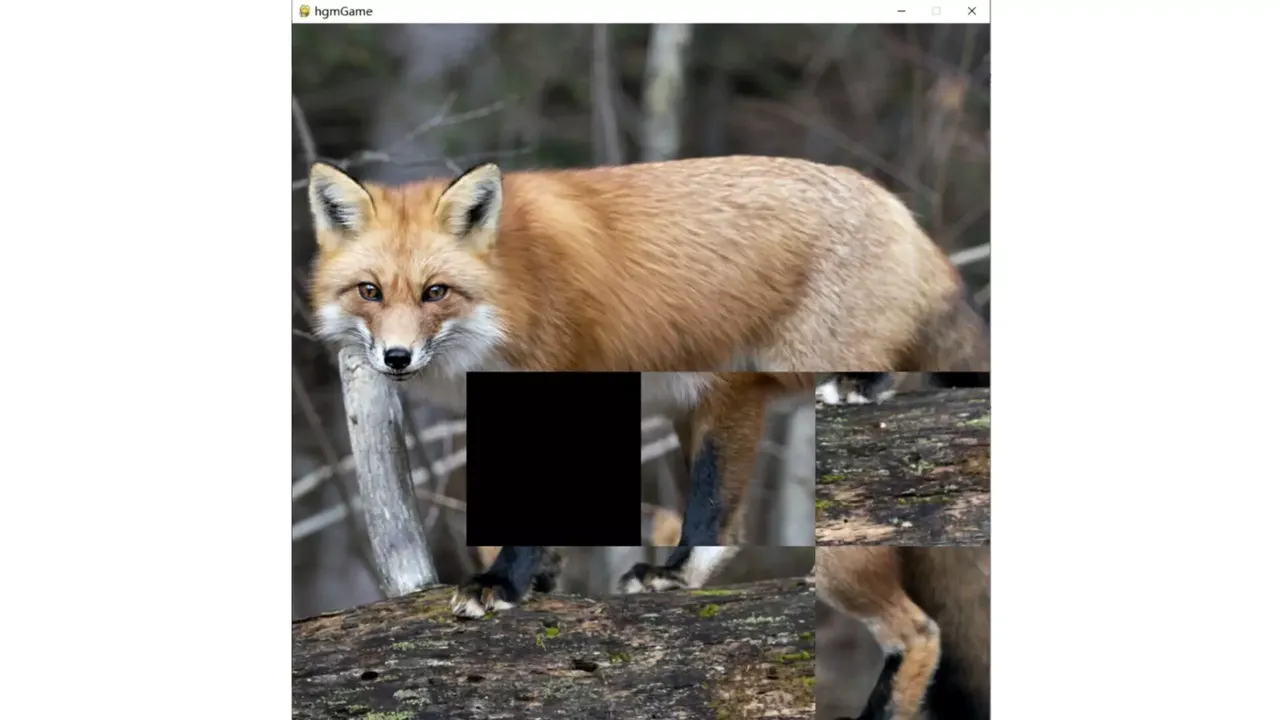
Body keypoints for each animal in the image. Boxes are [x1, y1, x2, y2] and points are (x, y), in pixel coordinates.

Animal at [305, 155, 989, 617]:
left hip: (768, 371)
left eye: (435, 292)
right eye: (369, 292)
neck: (515, 295)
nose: (395, 358)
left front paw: (502, 583)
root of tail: (893, 203)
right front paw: (540, 577)